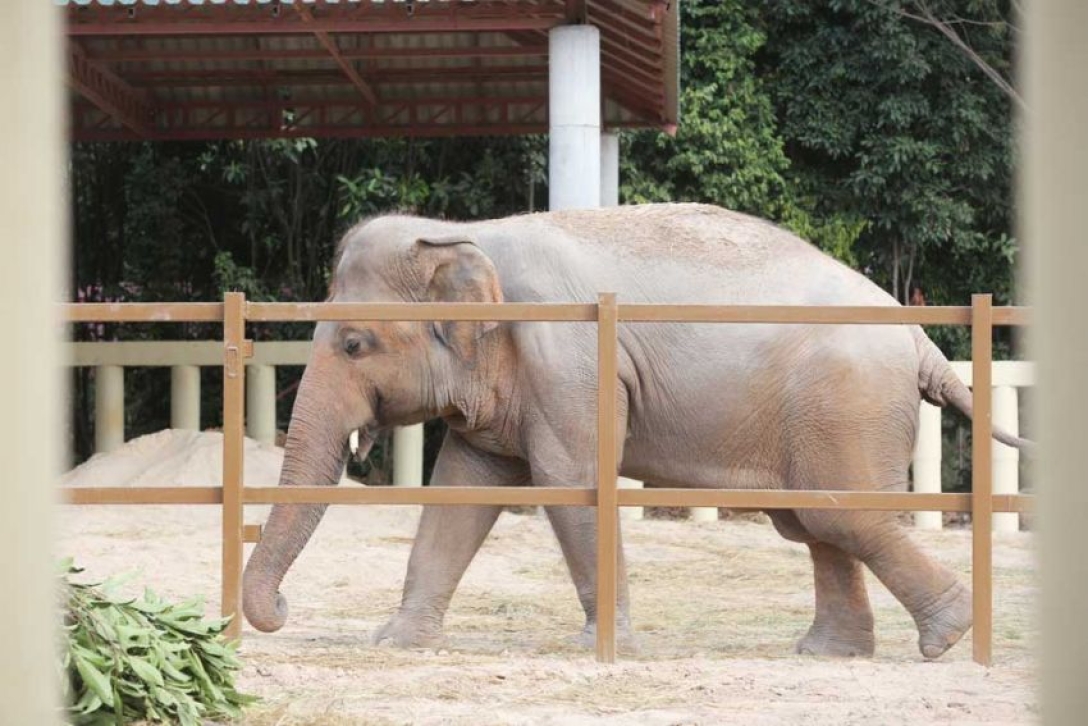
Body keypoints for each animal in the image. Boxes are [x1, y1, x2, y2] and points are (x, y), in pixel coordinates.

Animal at [242, 203, 1031, 657]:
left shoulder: (569, 361)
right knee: (816, 521)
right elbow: (463, 492)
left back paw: (944, 636)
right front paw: (397, 642)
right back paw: (828, 653)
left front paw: (599, 646)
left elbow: (572, 482)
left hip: (846, 403)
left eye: (354, 344)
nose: (282, 609)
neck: (466, 234)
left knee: (840, 514)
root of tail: (921, 341)